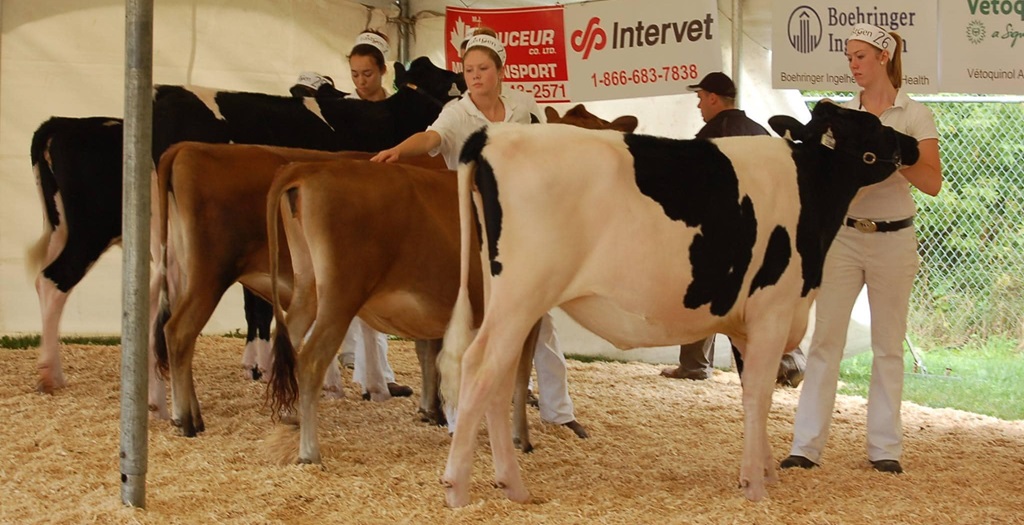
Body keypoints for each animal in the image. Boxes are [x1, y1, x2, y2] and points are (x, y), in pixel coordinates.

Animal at [27, 56, 464, 407]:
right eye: (447, 84)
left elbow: (266, 306)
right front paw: (364, 384)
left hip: (96, 233)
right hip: (106, 235)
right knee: (62, 283)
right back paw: (58, 374)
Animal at [435, 101, 920, 507]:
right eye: (876, 127)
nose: (914, 144)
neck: (810, 188)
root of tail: (494, 135)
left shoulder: (745, 323)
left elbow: (752, 392)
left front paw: (763, 469)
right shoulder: (774, 309)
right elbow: (759, 395)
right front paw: (755, 484)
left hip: (506, 296)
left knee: (497, 378)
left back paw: (512, 485)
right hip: (523, 294)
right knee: (478, 366)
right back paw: (458, 488)